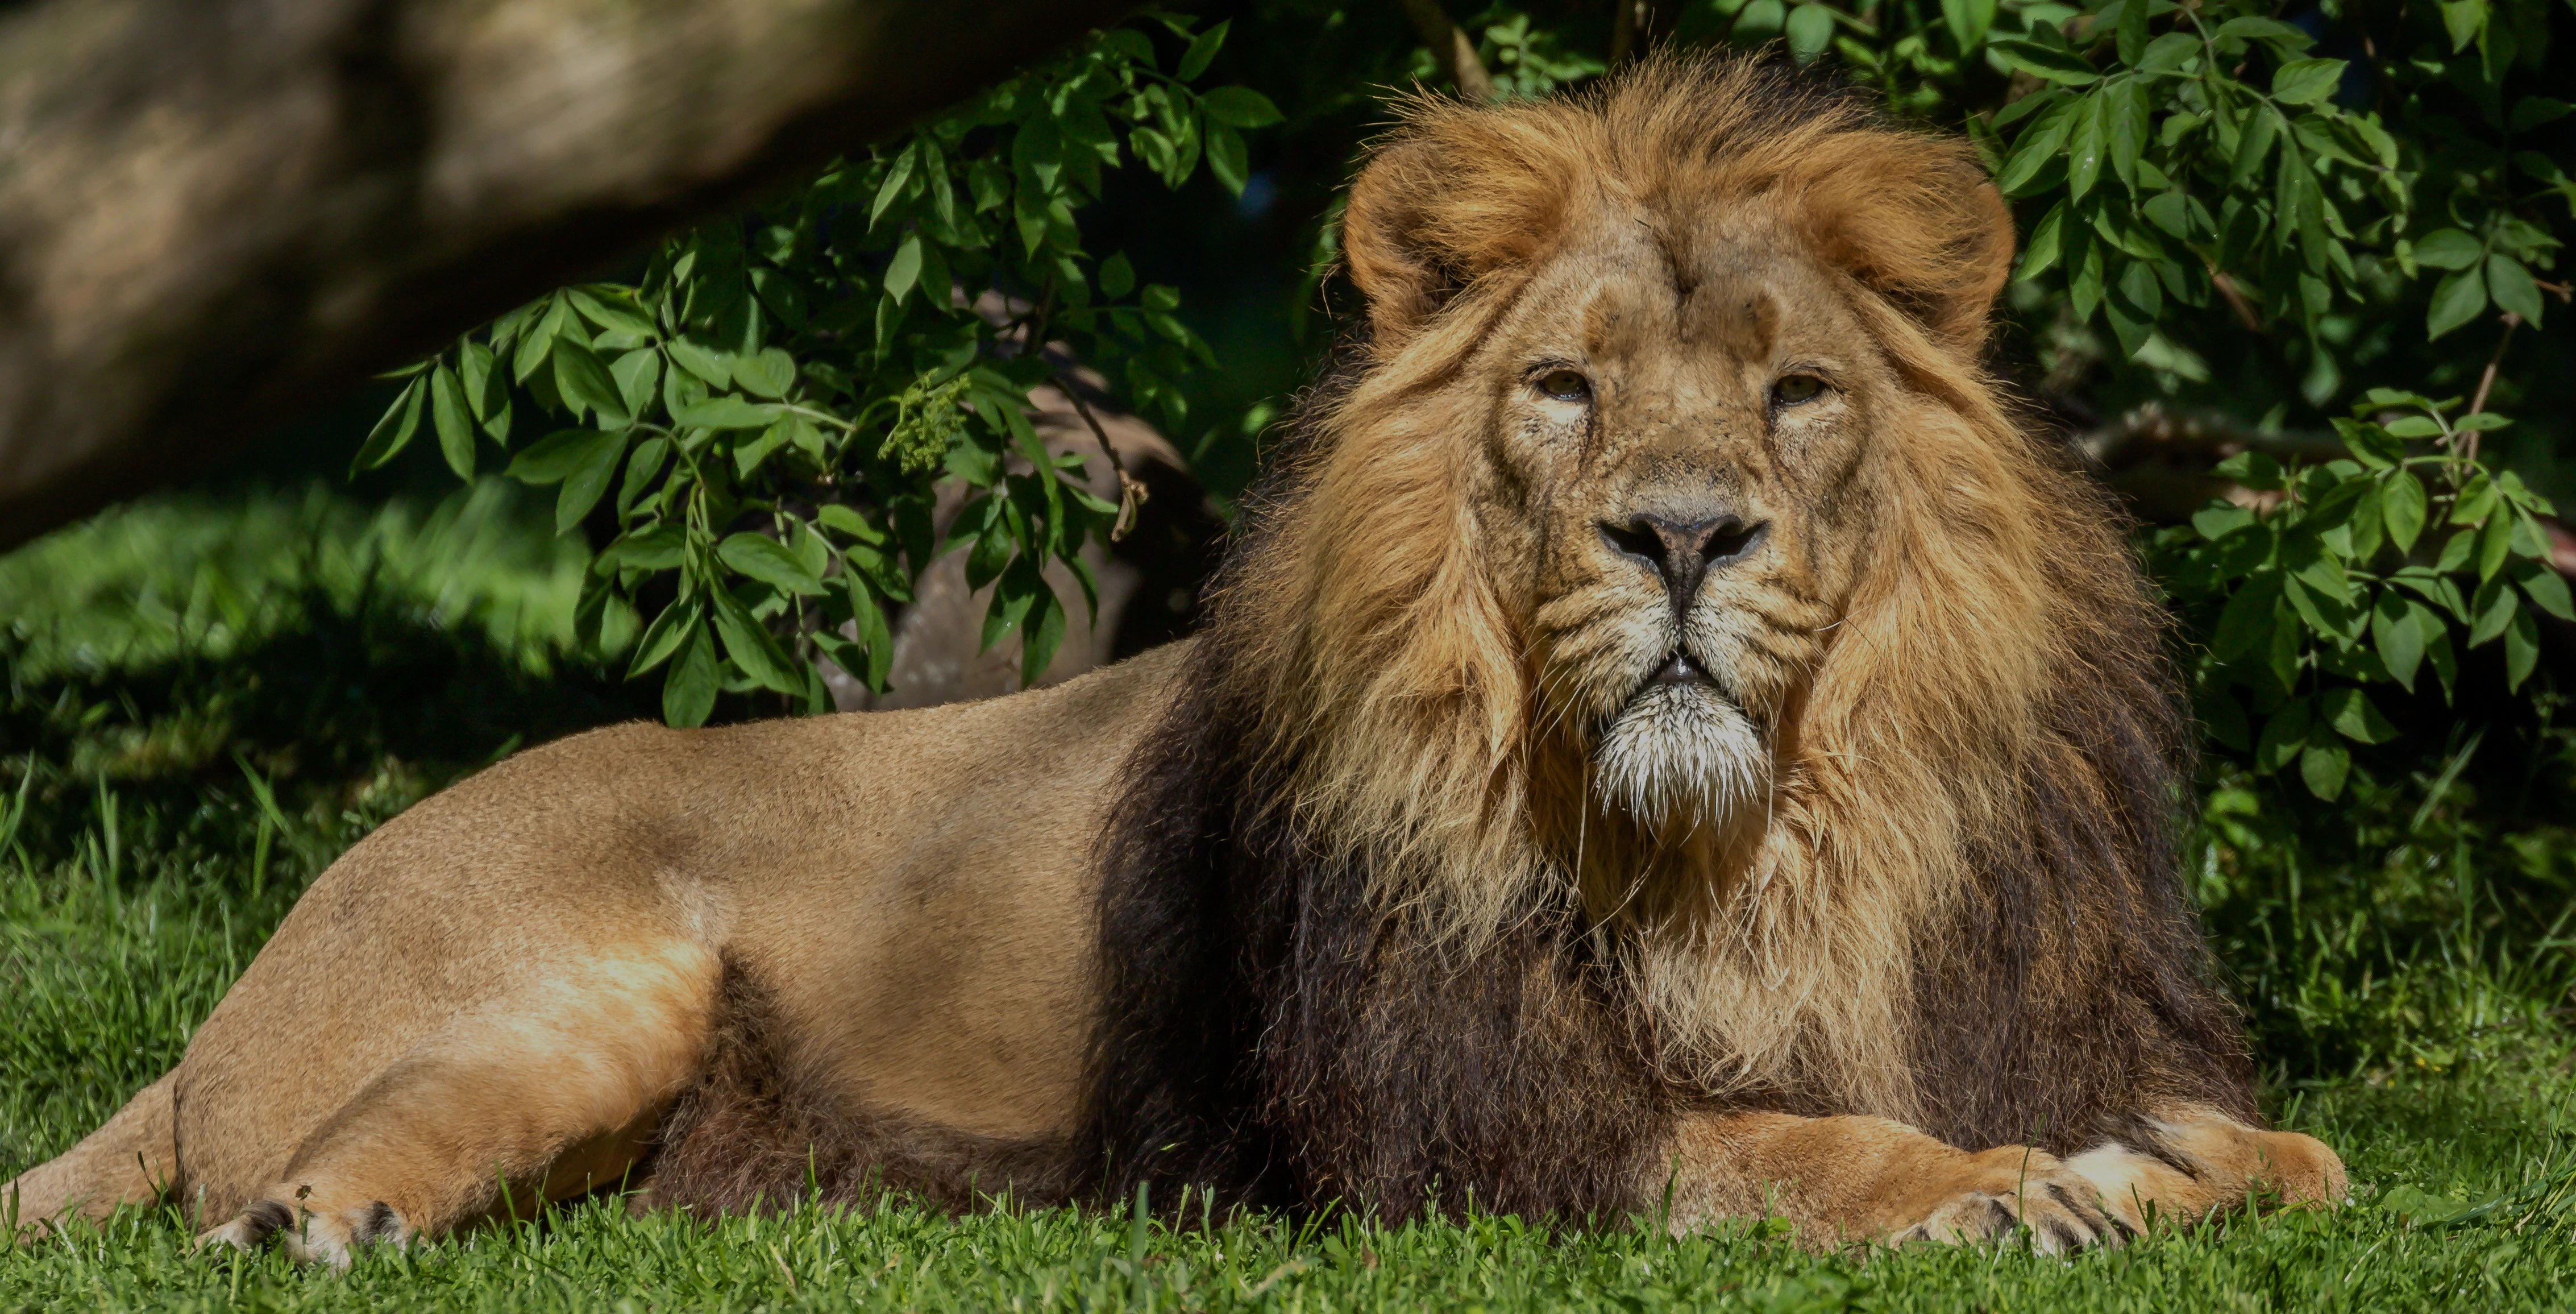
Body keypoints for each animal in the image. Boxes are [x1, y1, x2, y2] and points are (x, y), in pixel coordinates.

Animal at [7, 56, 2343, 1264]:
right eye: (1567, 389)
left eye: (1795, 395)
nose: (1682, 534)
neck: (1762, 840)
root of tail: (236, 990)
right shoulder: (1459, 1130)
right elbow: (1791, 1144)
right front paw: (2009, 1191)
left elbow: (2284, 1149)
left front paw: (2177, 1163)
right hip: (583, 977)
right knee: (301, 1163)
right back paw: (316, 1227)